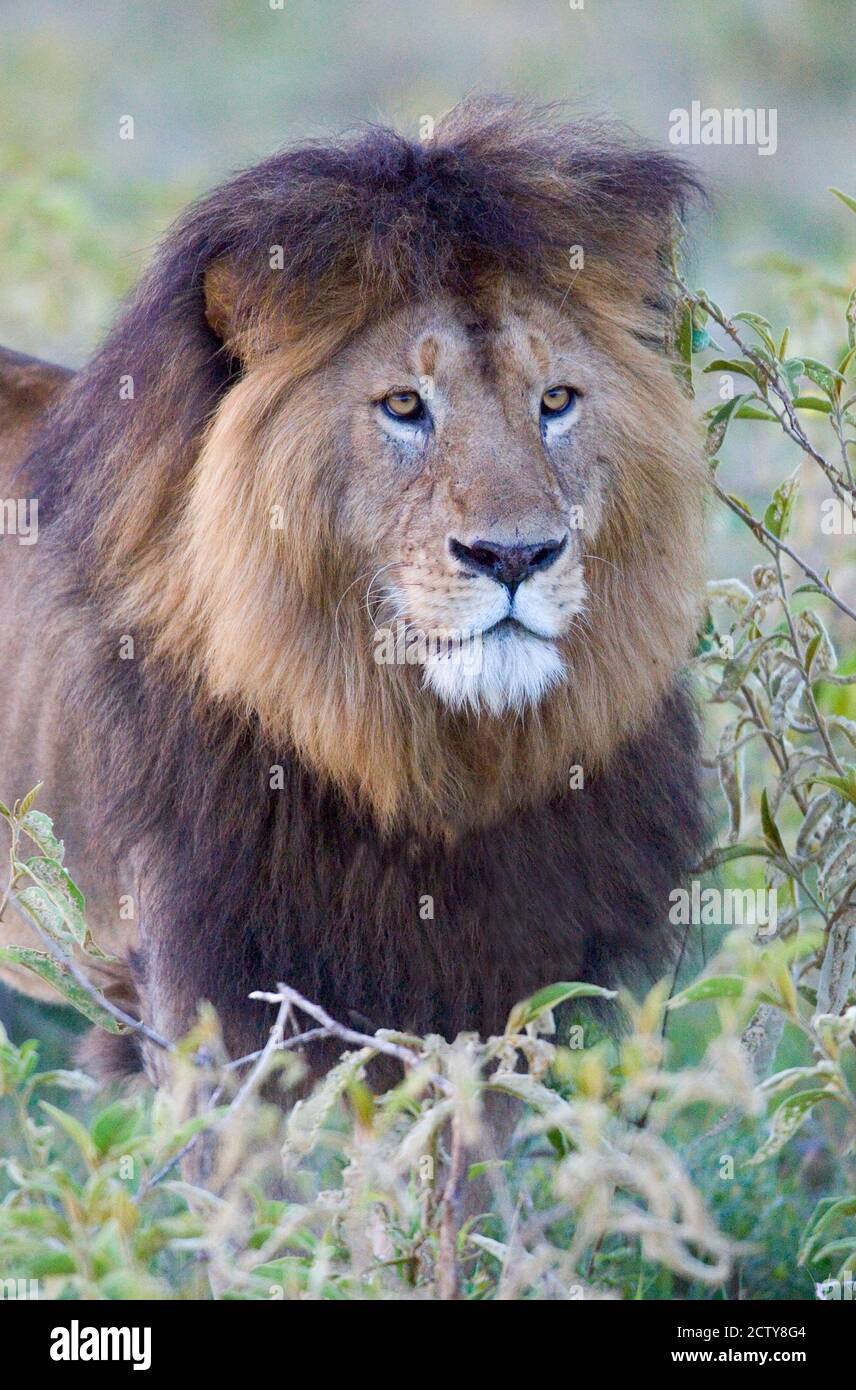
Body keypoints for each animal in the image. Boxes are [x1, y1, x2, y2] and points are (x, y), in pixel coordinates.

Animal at [0, 99, 707, 1084]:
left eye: (557, 400)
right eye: (404, 406)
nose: (516, 556)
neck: (415, 759)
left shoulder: (507, 988)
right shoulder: (193, 991)